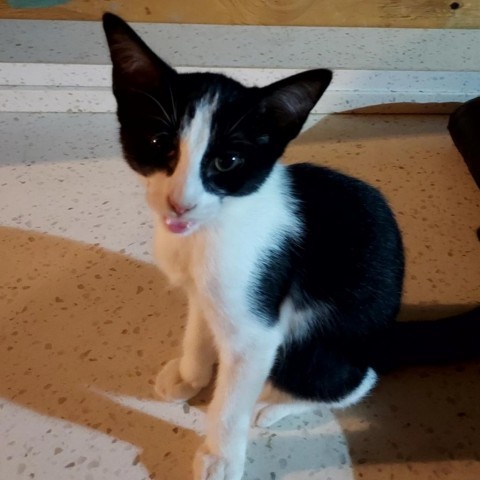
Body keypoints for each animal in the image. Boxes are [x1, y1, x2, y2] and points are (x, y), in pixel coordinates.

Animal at [102, 14, 480, 480]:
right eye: (159, 143)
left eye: (226, 162)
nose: (179, 203)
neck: (209, 229)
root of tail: (386, 336)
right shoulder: (203, 290)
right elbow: (198, 328)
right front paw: (190, 376)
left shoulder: (257, 325)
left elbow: (231, 402)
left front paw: (220, 456)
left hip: (316, 346)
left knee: (355, 380)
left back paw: (272, 405)